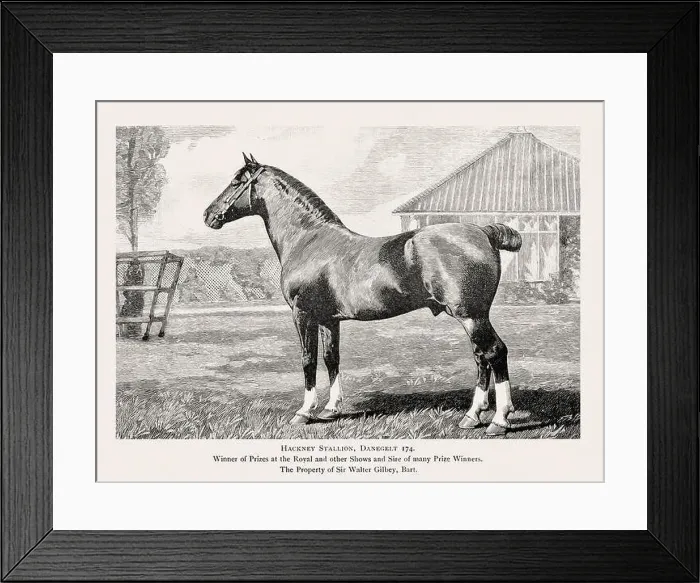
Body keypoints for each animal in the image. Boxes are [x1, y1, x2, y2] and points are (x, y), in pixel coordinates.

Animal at [204, 153, 522, 435]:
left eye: (236, 181)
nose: (208, 215)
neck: (309, 240)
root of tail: (483, 231)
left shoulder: (302, 314)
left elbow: (308, 359)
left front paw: (304, 412)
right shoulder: (328, 320)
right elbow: (331, 358)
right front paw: (331, 409)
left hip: (471, 315)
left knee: (495, 352)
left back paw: (499, 420)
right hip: (474, 316)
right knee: (481, 356)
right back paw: (472, 416)